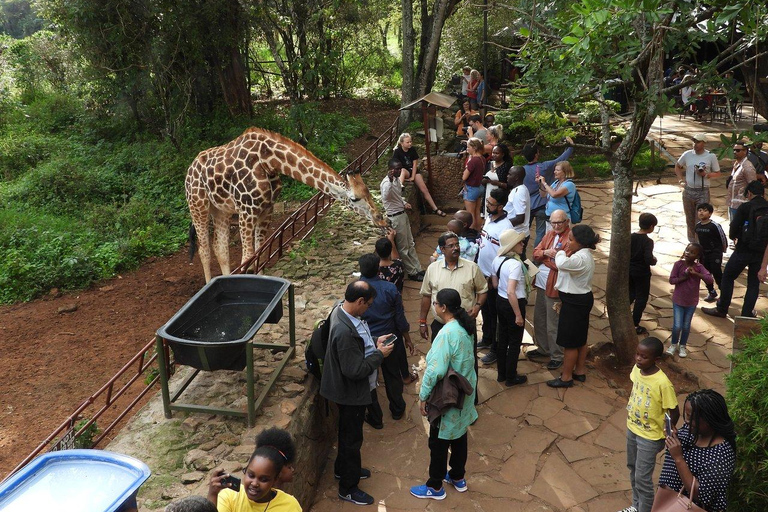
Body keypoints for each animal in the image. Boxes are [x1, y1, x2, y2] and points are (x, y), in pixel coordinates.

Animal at [184, 126, 388, 282]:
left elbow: (260, 255)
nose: (381, 218)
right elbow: (247, 259)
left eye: (368, 191)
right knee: (204, 249)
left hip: (221, 210)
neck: (268, 160)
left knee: (220, 248)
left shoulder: (266, 209)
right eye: (354, 198)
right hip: (198, 205)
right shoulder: (246, 211)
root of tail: (189, 170)